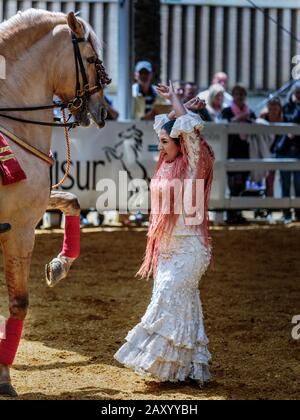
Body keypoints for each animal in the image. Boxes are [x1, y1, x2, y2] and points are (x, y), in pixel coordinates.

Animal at [0, 9, 110, 398]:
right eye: (91, 59)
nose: (103, 110)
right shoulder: (19, 228)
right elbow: (18, 303)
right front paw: (4, 377)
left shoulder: (34, 205)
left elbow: (73, 201)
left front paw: (59, 266)